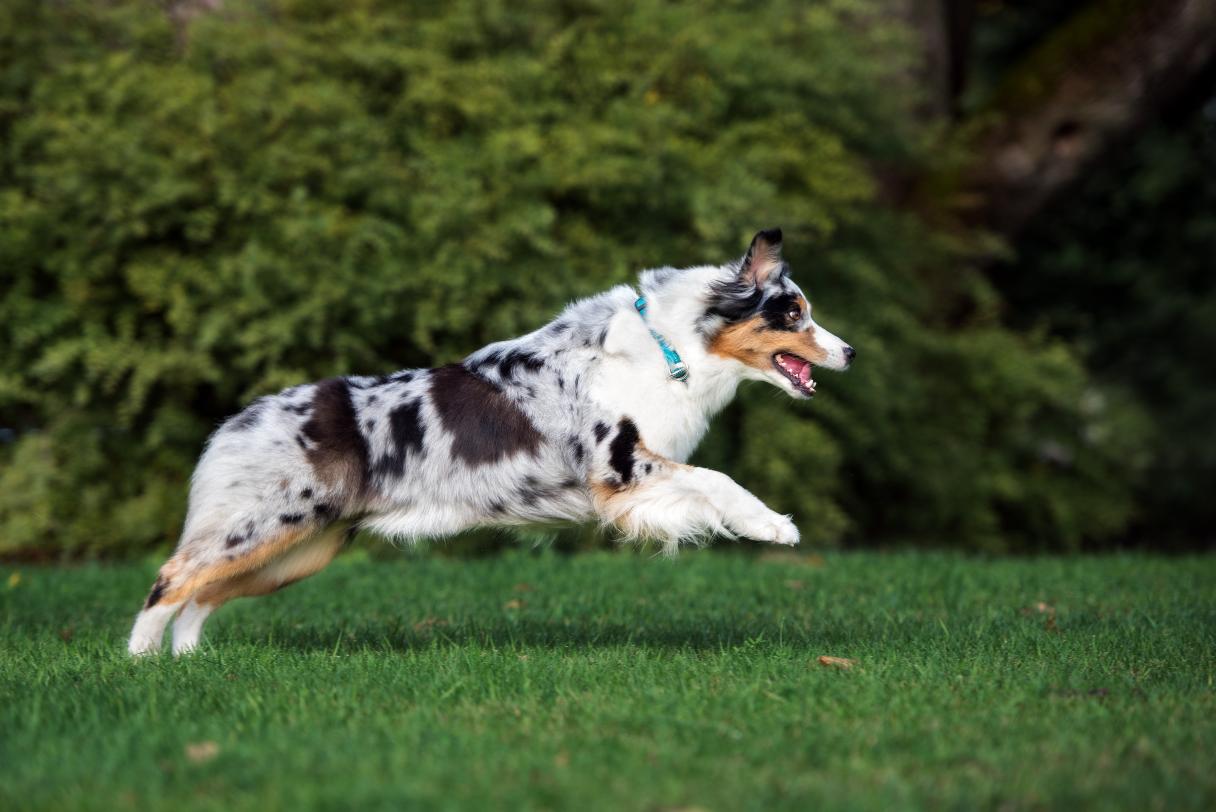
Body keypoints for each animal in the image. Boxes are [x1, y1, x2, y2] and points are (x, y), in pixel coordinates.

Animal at [128, 227, 851, 651]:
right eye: (793, 313)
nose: (849, 351)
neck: (670, 346)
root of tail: (240, 420)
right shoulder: (619, 468)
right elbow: (717, 480)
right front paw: (774, 526)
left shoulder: (638, 482)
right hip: (263, 525)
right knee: (170, 580)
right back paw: (141, 669)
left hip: (297, 551)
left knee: (201, 595)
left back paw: (186, 667)